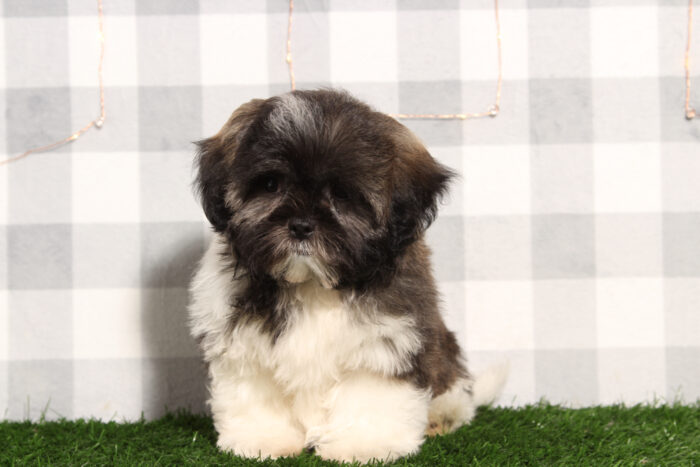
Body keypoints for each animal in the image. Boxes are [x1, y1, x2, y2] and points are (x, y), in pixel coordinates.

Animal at [187, 88, 504, 464]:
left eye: (342, 194)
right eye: (270, 184)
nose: (301, 226)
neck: (313, 285)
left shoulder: (389, 337)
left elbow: (371, 393)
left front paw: (363, 445)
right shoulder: (240, 341)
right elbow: (254, 391)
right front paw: (264, 439)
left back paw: (444, 415)